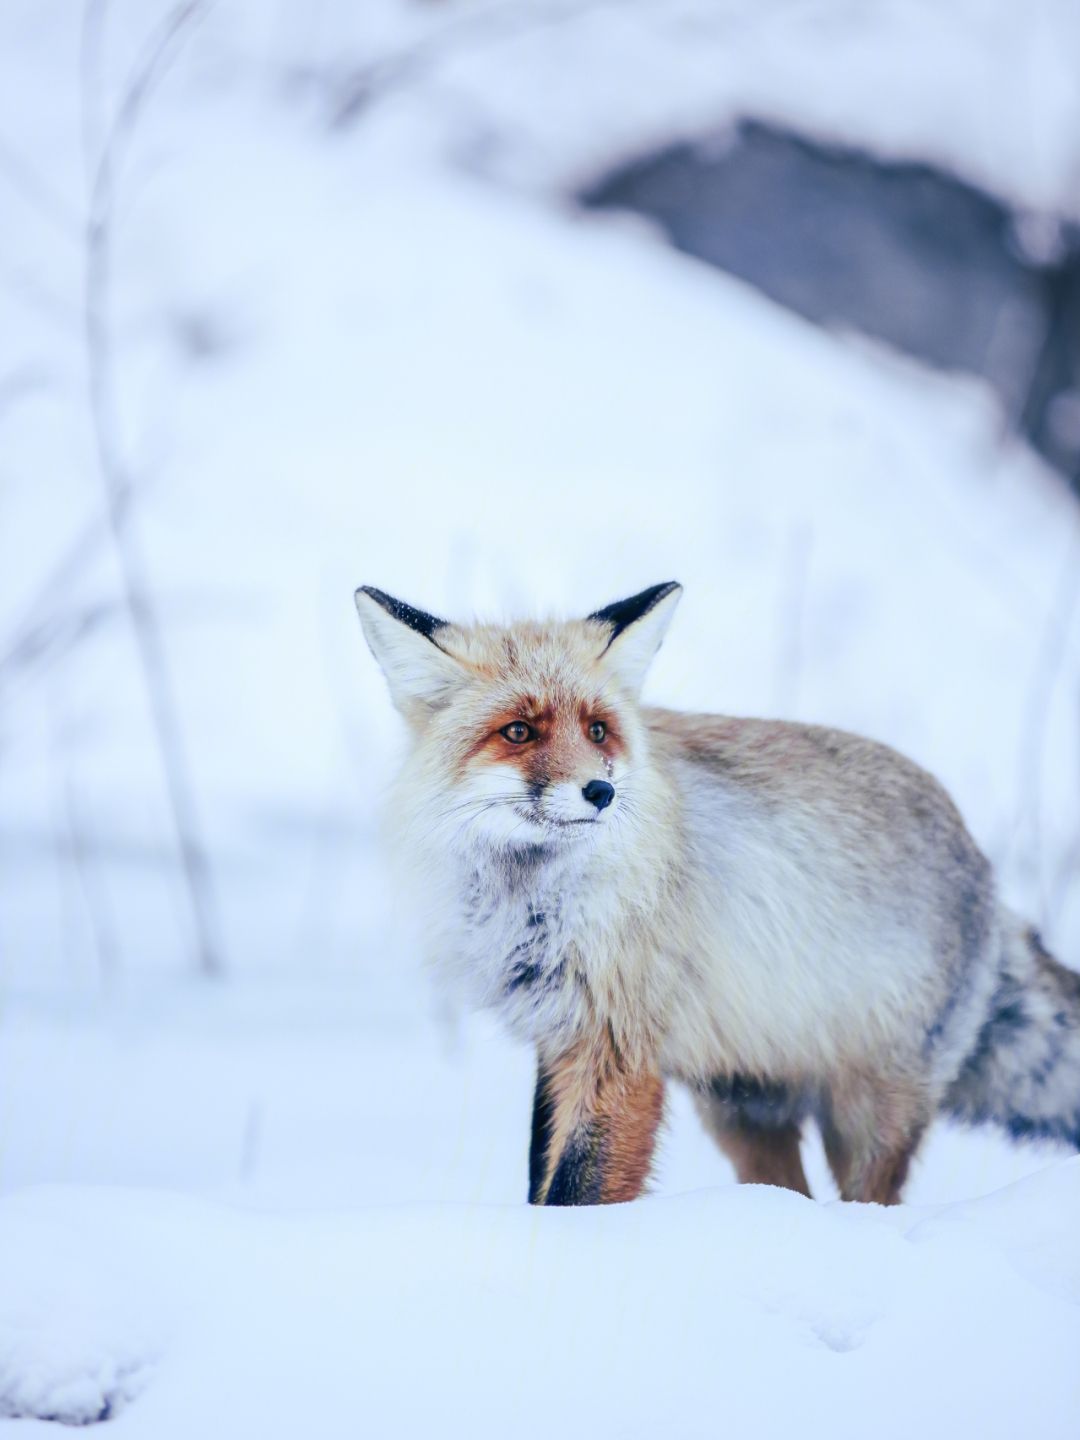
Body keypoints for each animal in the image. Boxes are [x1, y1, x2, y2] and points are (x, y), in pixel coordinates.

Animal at [355, 576, 1080, 1203]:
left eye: (597, 729)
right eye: (518, 731)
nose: (601, 791)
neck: (533, 900)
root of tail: (985, 869)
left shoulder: (619, 1046)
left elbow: (575, 1189)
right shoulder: (561, 1036)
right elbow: (541, 1176)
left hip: (863, 1117)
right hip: (742, 1110)